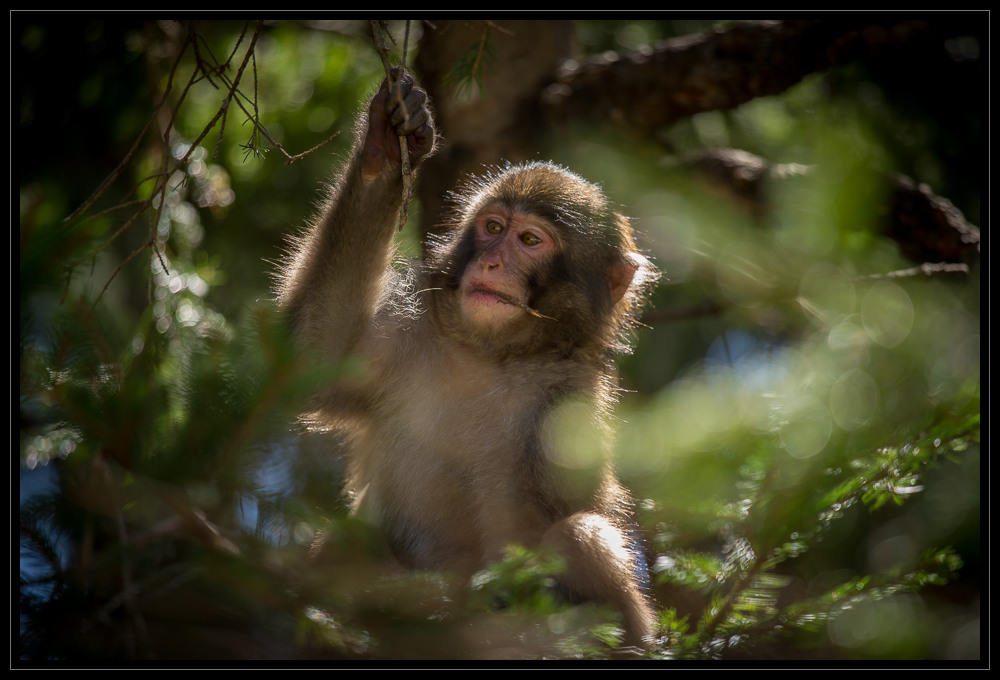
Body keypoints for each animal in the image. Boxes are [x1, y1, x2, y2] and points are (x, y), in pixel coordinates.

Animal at [278, 71, 660, 652]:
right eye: (493, 227)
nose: (493, 262)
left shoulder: (568, 403)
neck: (491, 354)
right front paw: (385, 145)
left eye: (530, 240)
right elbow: (311, 364)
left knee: (582, 535)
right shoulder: (410, 335)